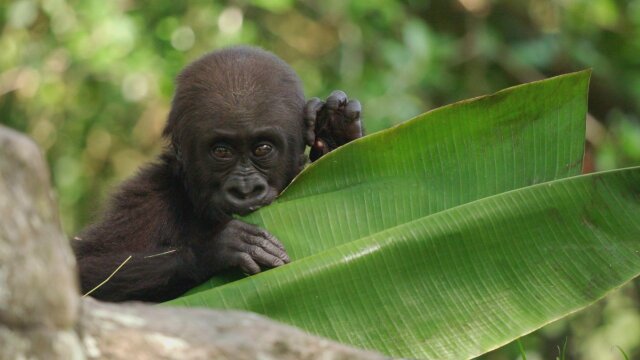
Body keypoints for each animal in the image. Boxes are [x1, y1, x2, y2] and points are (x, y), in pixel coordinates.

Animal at [72, 46, 362, 302]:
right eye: (222, 151)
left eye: (262, 148)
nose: (245, 189)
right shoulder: (145, 198)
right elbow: (81, 272)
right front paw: (214, 249)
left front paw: (335, 133)